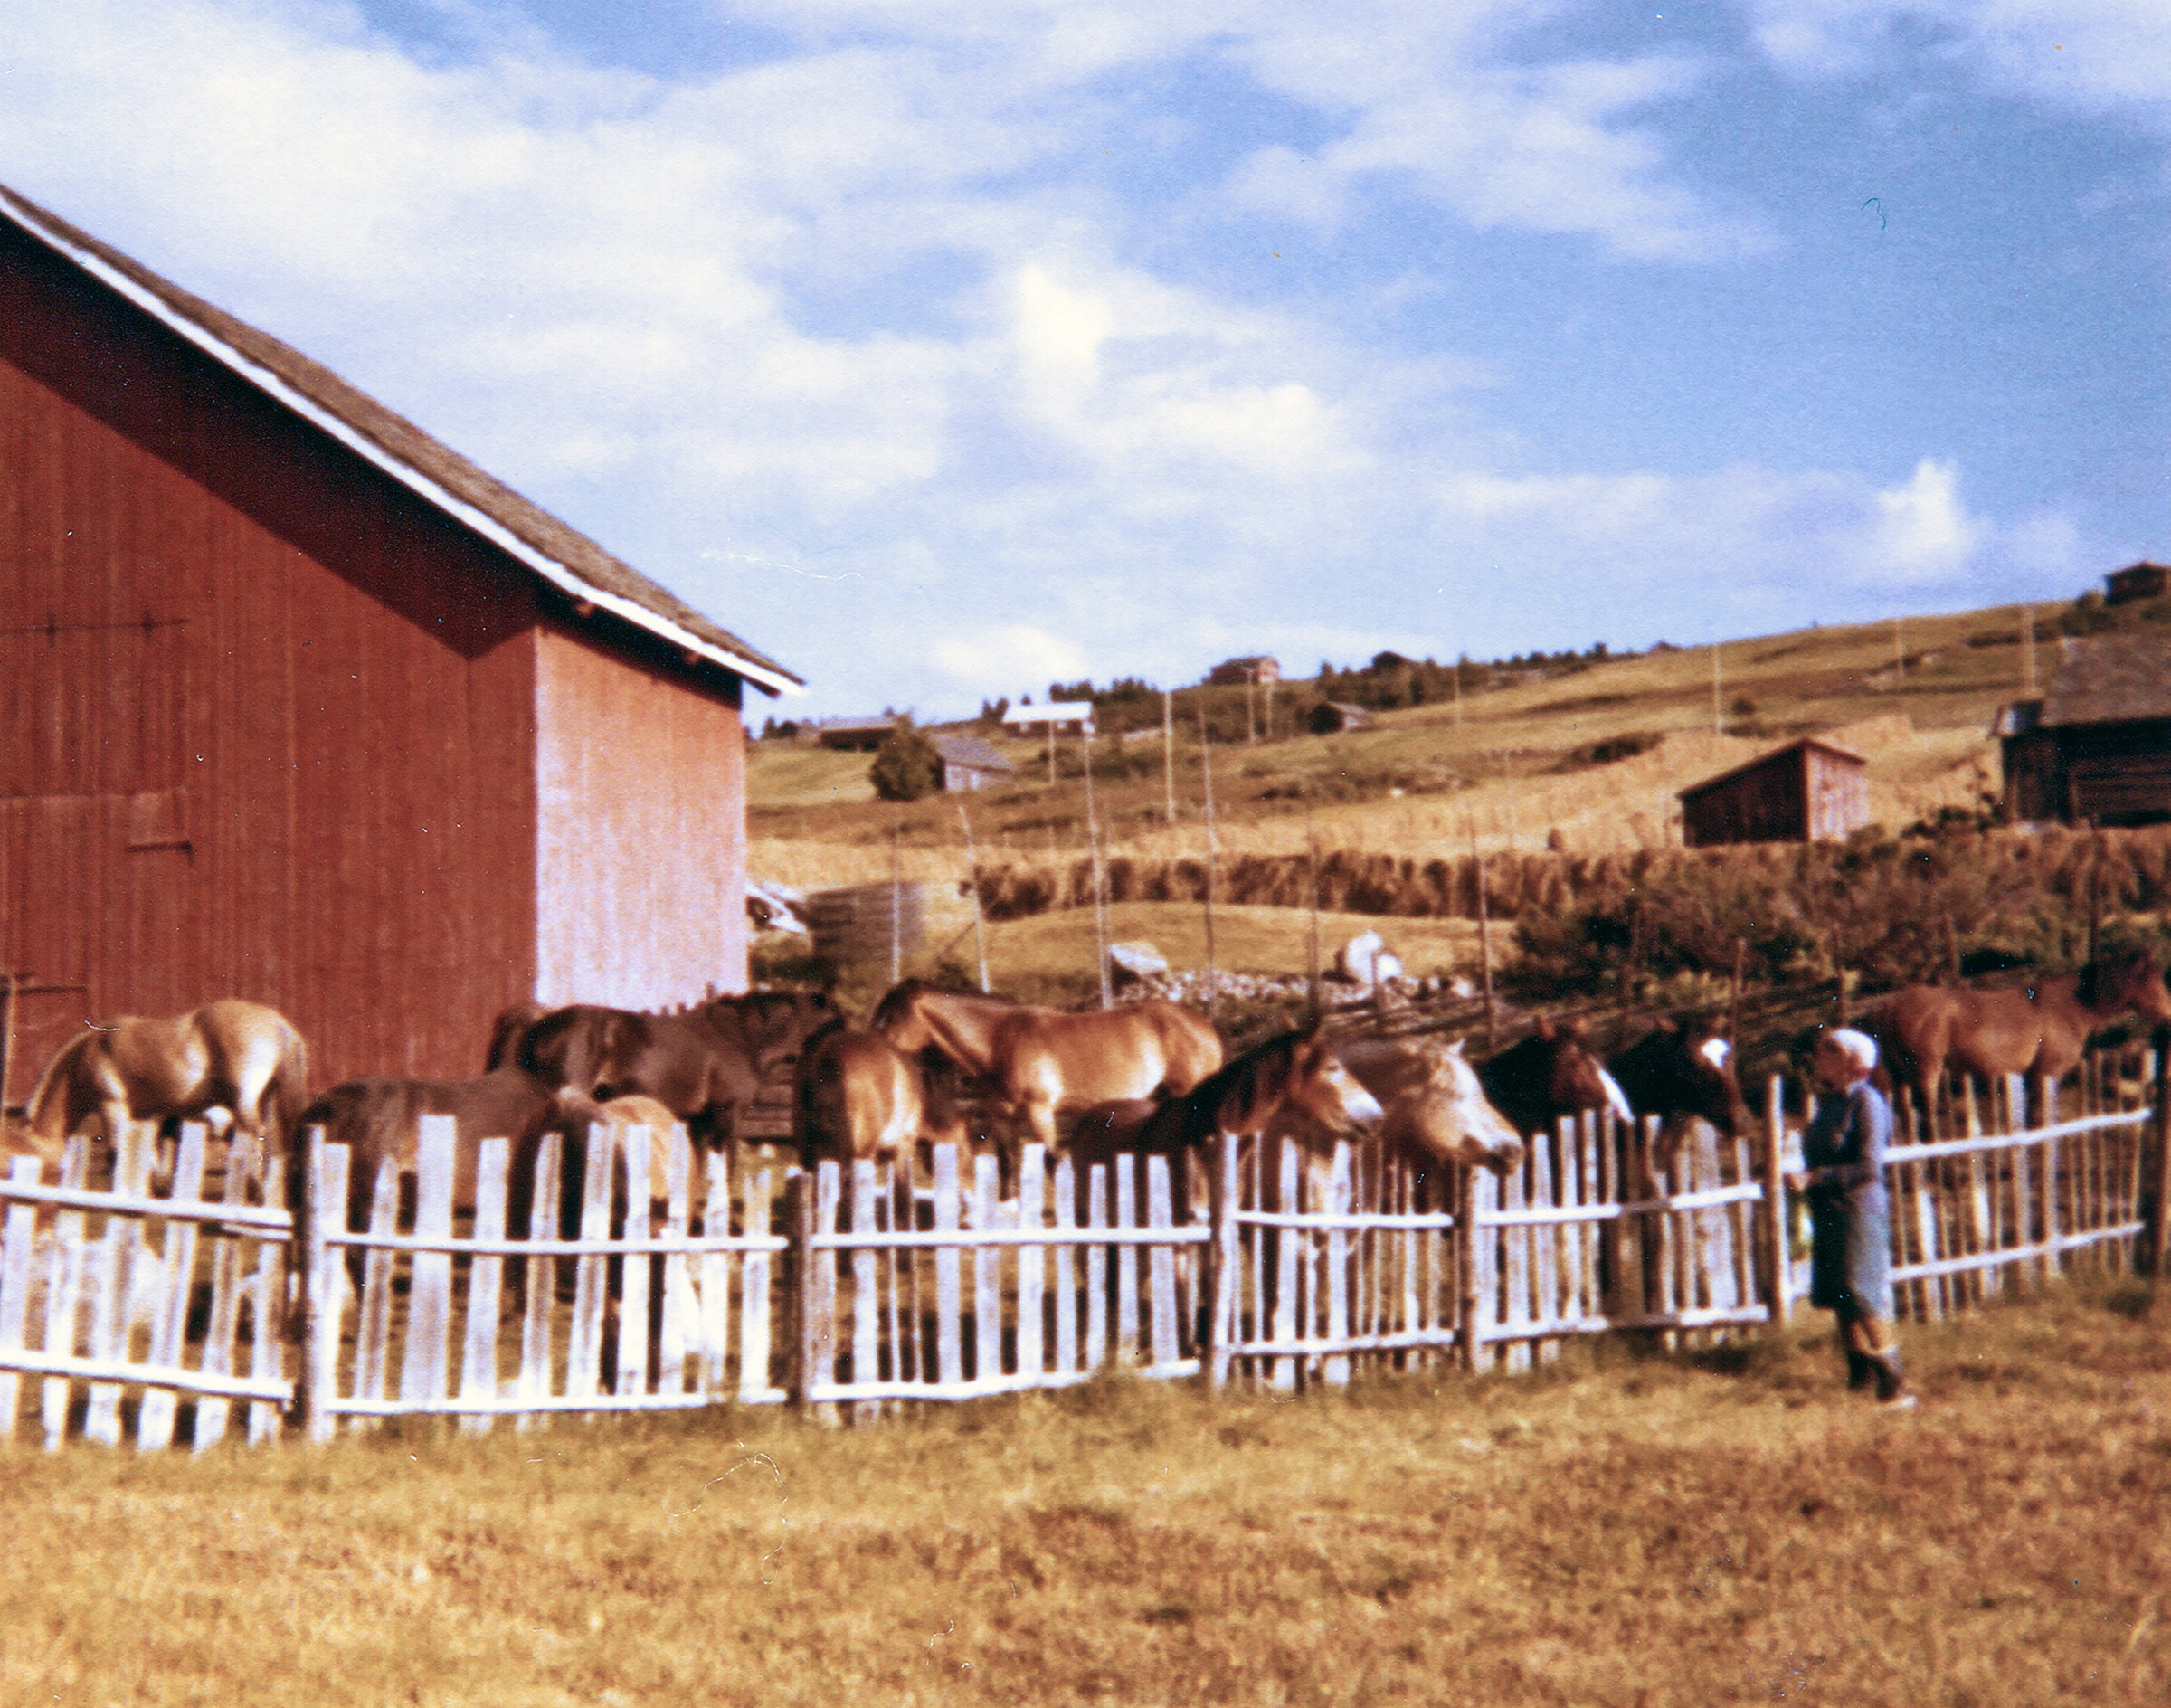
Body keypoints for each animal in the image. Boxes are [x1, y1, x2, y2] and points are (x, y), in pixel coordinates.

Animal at [26, 999, 309, 1157]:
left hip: (243, 1102)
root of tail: (275, 1020)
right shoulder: (145, 1115)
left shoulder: (111, 1108)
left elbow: (115, 1153)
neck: (89, 1050)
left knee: (254, 1135)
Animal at [871, 979, 1222, 1152]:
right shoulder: (1001, 1119)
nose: (875, 1049)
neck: (1001, 1040)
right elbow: (1008, 1163)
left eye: (893, 1016)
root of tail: (1204, 1026)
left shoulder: (1040, 1113)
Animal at [1871, 951, 2171, 1117]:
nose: (2168, 1013)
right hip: (1926, 1076)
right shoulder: (2045, 1074)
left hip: (1901, 1080)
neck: (2070, 1006)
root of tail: (1892, 1004)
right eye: (2147, 979)